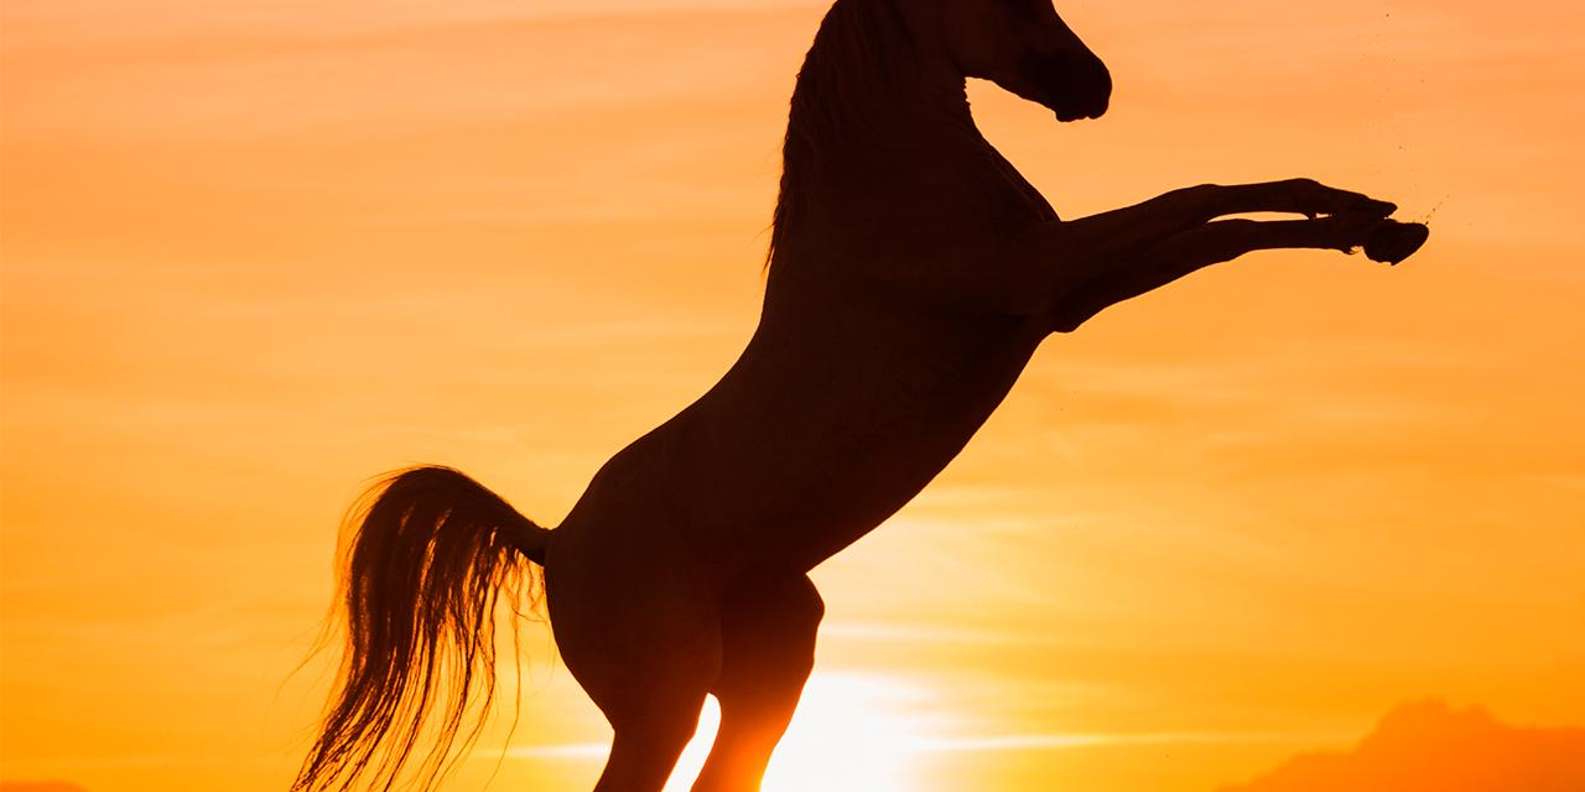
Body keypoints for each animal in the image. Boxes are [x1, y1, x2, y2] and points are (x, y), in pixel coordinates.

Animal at [292, 0, 1428, 790]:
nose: (1091, 85)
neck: (891, 194)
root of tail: (553, 540)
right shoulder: (1055, 280)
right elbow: (1203, 209)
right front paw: (1376, 226)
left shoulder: (1072, 286)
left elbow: (1217, 210)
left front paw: (1381, 222)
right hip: (660, 699)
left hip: (766, 673)